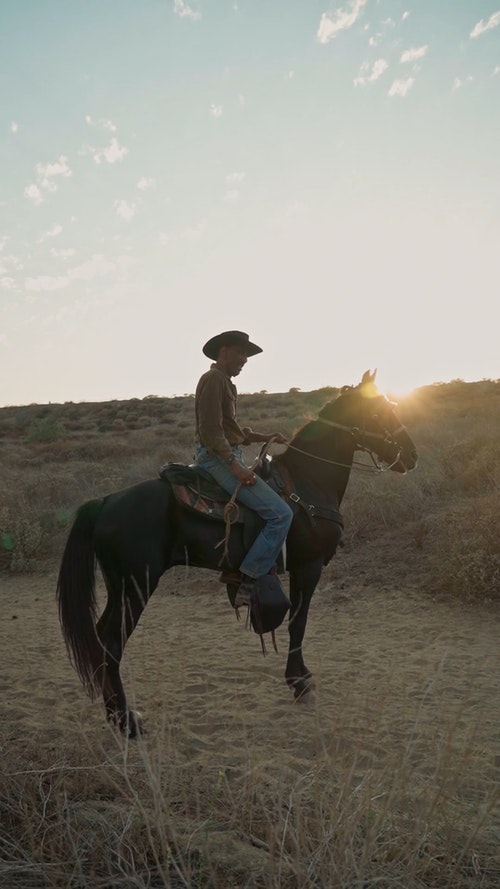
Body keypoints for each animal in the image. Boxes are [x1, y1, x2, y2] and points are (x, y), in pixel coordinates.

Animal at [56, 370, 418, 736]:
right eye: (380, 412)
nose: (411, 454)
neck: (307, 483)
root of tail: (105, 502)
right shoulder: (309, 565)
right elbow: (298, 623)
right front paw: (300, 682)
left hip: (120, 587)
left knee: (100, 638)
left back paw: (116, 715)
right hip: (136, 586)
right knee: (111, 644)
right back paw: (128, 722)